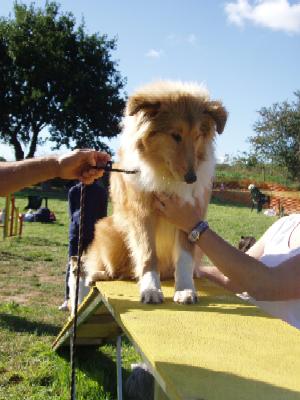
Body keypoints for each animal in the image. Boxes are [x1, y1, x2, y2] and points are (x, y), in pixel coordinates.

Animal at [85, 80, 227, 304]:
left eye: (198, 136)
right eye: (175, 135)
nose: (191, 178)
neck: (166, 176)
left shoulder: (189, 216)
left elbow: (185, 257)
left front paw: (185, 290)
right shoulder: (143, 214)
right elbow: (148, 255)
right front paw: (151, 290)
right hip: (108, 229)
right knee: (112, 269)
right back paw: (96, 275)